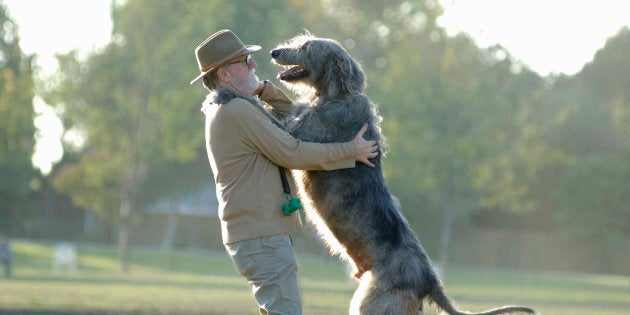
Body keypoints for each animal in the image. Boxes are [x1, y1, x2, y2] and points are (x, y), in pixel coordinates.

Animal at [272, 32, 540, 315]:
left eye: (307, 47)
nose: (274, 52)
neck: (338, 94)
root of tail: (429, 278)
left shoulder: (301, 136)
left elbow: (281, 127)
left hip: (375, 301)